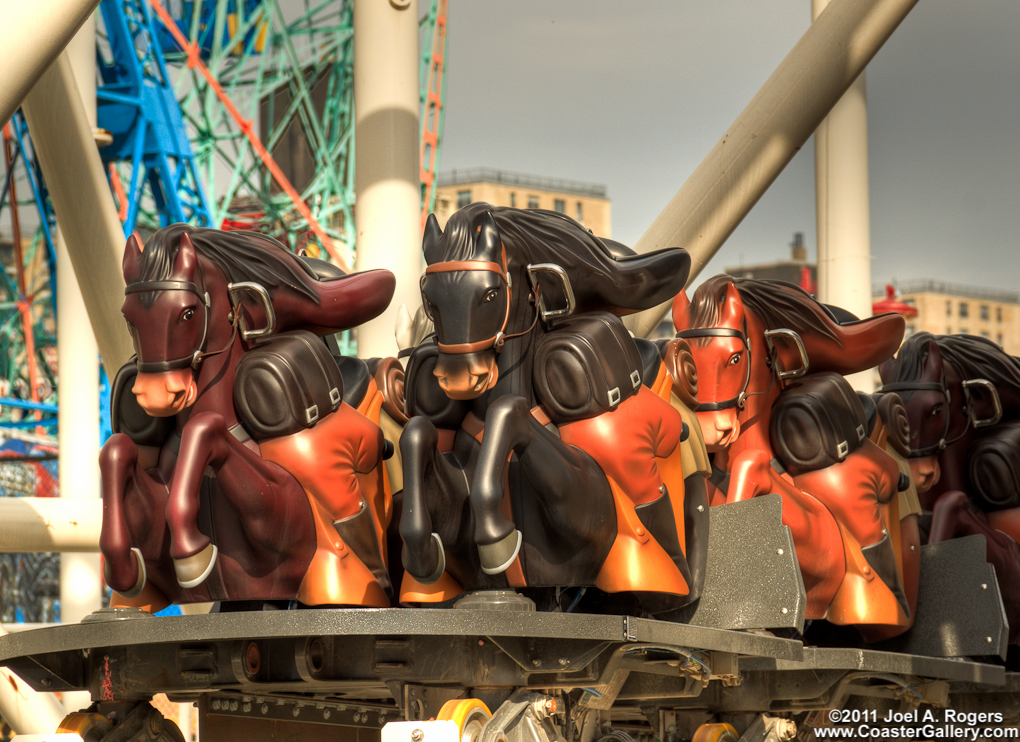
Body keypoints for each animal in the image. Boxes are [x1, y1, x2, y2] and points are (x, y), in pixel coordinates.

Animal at [98, 226, 393, 608]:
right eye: (127, 316)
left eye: (187, 313)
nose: (155, 396)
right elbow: (117, 450)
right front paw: (122, 568)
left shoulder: (289, 526)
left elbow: (203, 429)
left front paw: (192, 554)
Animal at [393, 204, 697, 616]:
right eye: (429, 297)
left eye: (490, 293)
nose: (457, 379)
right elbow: (417, 433)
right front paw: (422, 554)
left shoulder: (591, 519)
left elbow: (509, 411)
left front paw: (498, 538)